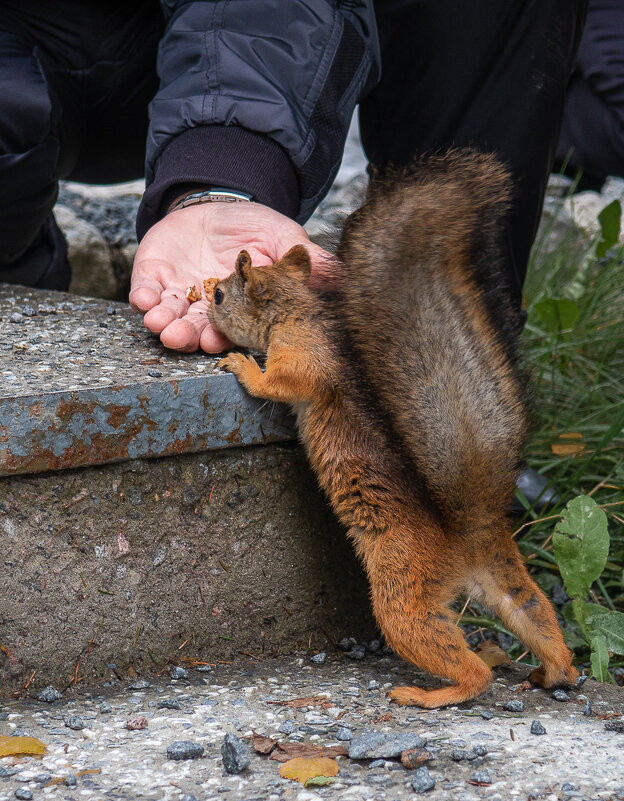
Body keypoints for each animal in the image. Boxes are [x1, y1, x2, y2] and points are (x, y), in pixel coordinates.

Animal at [204, 150, 576, 708]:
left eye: (222, 294)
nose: (202, 295)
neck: (298, 308)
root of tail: (463, 536)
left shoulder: (305, 352)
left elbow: (285, 382)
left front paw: (243, 365)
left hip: (402, 586)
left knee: (453, 657)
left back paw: (434, 693)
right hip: (504, 579)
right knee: (532, 612)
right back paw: (554, 669)